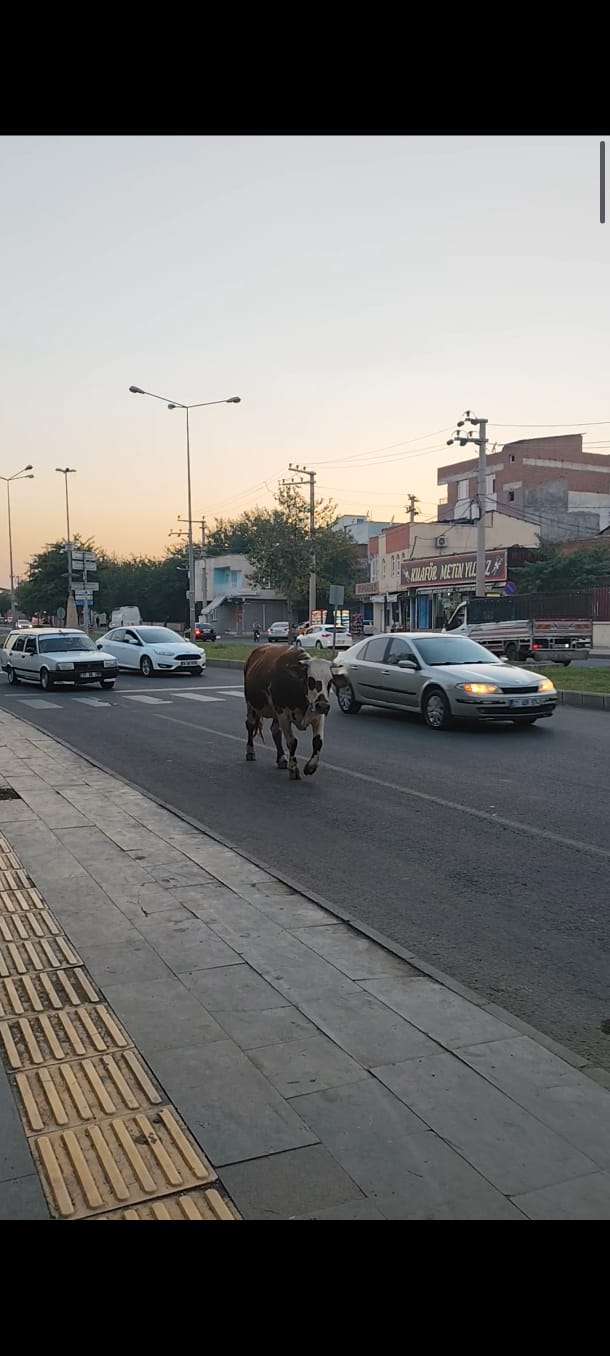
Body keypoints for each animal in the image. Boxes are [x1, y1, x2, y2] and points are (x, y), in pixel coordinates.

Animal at [244, 642, 333, 781]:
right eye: (311, 680)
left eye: (330, 682)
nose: (323, 705)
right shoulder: (283, 715)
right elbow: (292, 742)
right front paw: (294, 768)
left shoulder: (318, 715)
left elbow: (318, 741)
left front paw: (310, 767)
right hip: (251, 704)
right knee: (250, 725)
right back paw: (250, 751)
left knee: (275, 731)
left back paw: (281, 758)